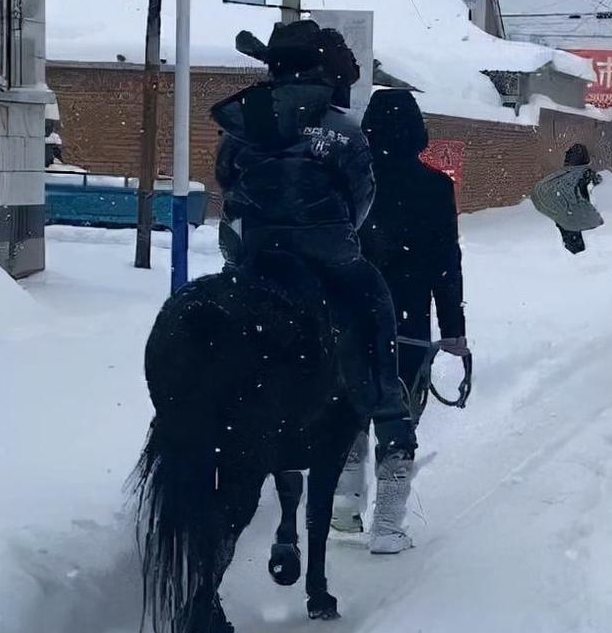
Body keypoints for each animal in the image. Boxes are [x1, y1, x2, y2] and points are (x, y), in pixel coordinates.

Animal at [131, 251, 376, 632]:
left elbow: (290, 490)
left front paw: (285, 560)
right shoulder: (331, 445)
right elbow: (316, 514)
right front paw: (319, 596)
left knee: (205, 530)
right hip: (239, 459)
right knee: (219, 530)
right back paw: (205, 618)